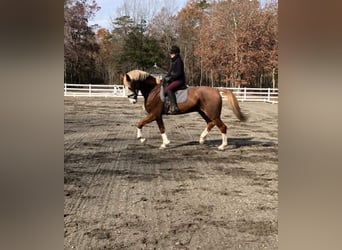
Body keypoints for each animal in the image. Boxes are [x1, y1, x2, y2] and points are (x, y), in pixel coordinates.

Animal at [119, 69, 247, 149]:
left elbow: (140, 123)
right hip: (203, 112)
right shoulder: (157, 115)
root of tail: (215, 89)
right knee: (210, 123)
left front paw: (142, 139)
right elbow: (161, 128)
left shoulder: (154, 114)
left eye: (129, 86)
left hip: (213, 114)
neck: (153, 90)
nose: (132, 101)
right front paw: (165, 144)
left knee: (222, 127)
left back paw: (222, 146)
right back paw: (202, 139)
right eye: (123, 86)